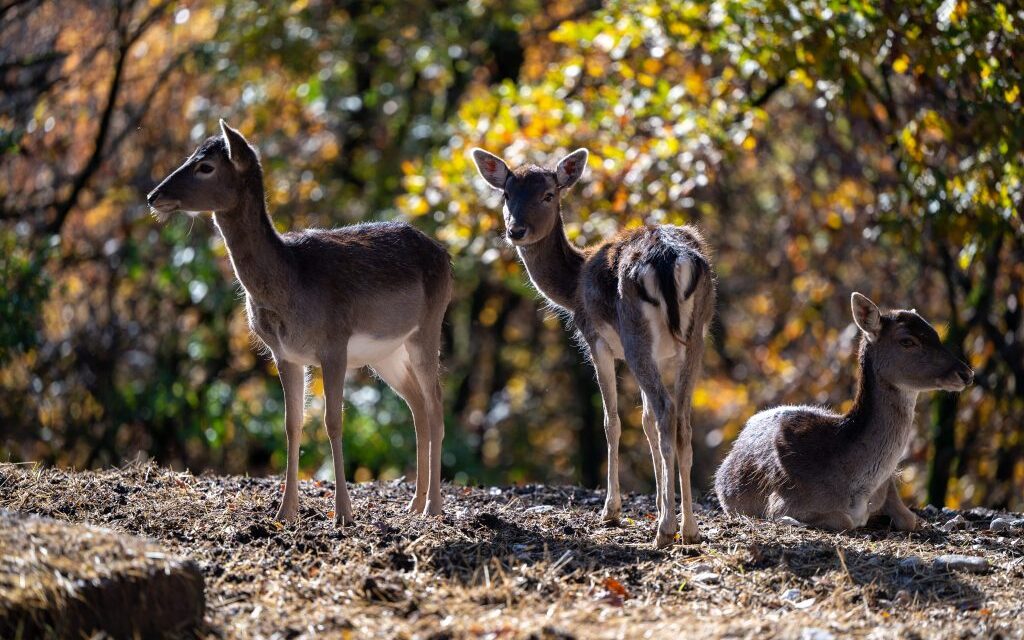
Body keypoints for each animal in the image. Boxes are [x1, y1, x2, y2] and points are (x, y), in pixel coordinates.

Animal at [145, 119, 452, 524]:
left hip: (428, 326)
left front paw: (343, 514)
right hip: (386, 353)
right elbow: (291, 425)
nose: (153, 195)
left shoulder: (334, 343)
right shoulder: (285, 354)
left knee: (435, 406)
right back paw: (414, 505)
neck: (291, 282)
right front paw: (284, 511)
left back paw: (432, 507)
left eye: (205, 166)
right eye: (190, 156)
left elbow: (333, 422)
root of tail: (446, 256)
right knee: (417, 406)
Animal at [468, 147, 716, 544]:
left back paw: (665, 530)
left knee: (665, 411)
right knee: (681, 419)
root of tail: (667, 259)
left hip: (634, 334)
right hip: (696, 337)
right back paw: (689, 529)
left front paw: (611, 511)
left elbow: (611, 421)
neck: (572, 289)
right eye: (507, 194)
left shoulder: (595, 339)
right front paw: (660, 506)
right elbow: (645, 420)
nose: (515, 230)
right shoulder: (661, 354)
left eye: (548, 195)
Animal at [716, 292, 970, 528]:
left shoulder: (889, 485)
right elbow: (844, 521)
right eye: (907, 341)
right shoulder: (783, 501)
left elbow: (910, 519)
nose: (966, 373)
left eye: (936, 334)